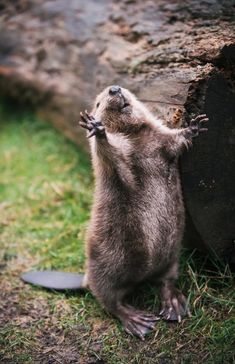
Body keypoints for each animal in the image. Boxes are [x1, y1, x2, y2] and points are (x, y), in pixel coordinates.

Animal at [78, 84, 207, 338]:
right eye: (98, 103)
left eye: (123, 88)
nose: (114, 89)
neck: (136, 137)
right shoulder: (118, 161)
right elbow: (115, 161)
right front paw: (96, 128)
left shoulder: (160, 139)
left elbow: (175, 142)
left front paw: (195, 125)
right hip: (105, 268)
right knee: (109, 300)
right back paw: (139, 321)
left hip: (171, 256)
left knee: (165, 280)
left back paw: (174, 306)